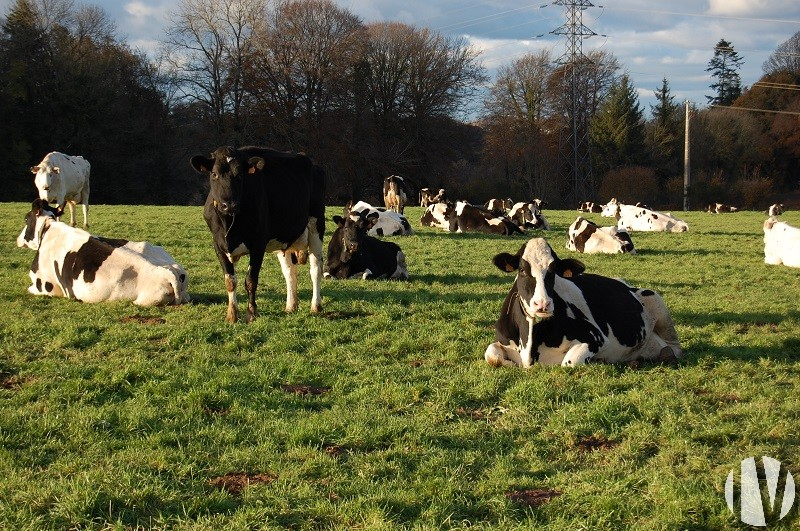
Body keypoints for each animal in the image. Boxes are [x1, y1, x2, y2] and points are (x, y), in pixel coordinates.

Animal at [189, 143, 324, 322]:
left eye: (240, 175)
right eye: (214, 174)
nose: (229, 205)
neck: (229, 223)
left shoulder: (258, 244)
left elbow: (251, 280)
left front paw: (252, 313)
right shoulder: (218, 245)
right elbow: (230, 281)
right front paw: (232, 315)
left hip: (317, 225)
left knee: (315, 269)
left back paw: (316, 306)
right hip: (283, 240)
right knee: (289, 273)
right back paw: (290, 306)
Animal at [482, 239, 680, 368]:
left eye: (553, 271)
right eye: (522, 270)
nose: (542, 304)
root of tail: (624, 283)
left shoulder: (596, 337)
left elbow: (568, 363)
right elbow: (492, 355)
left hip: (656, 301)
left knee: (674, 346)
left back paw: (668, 356)